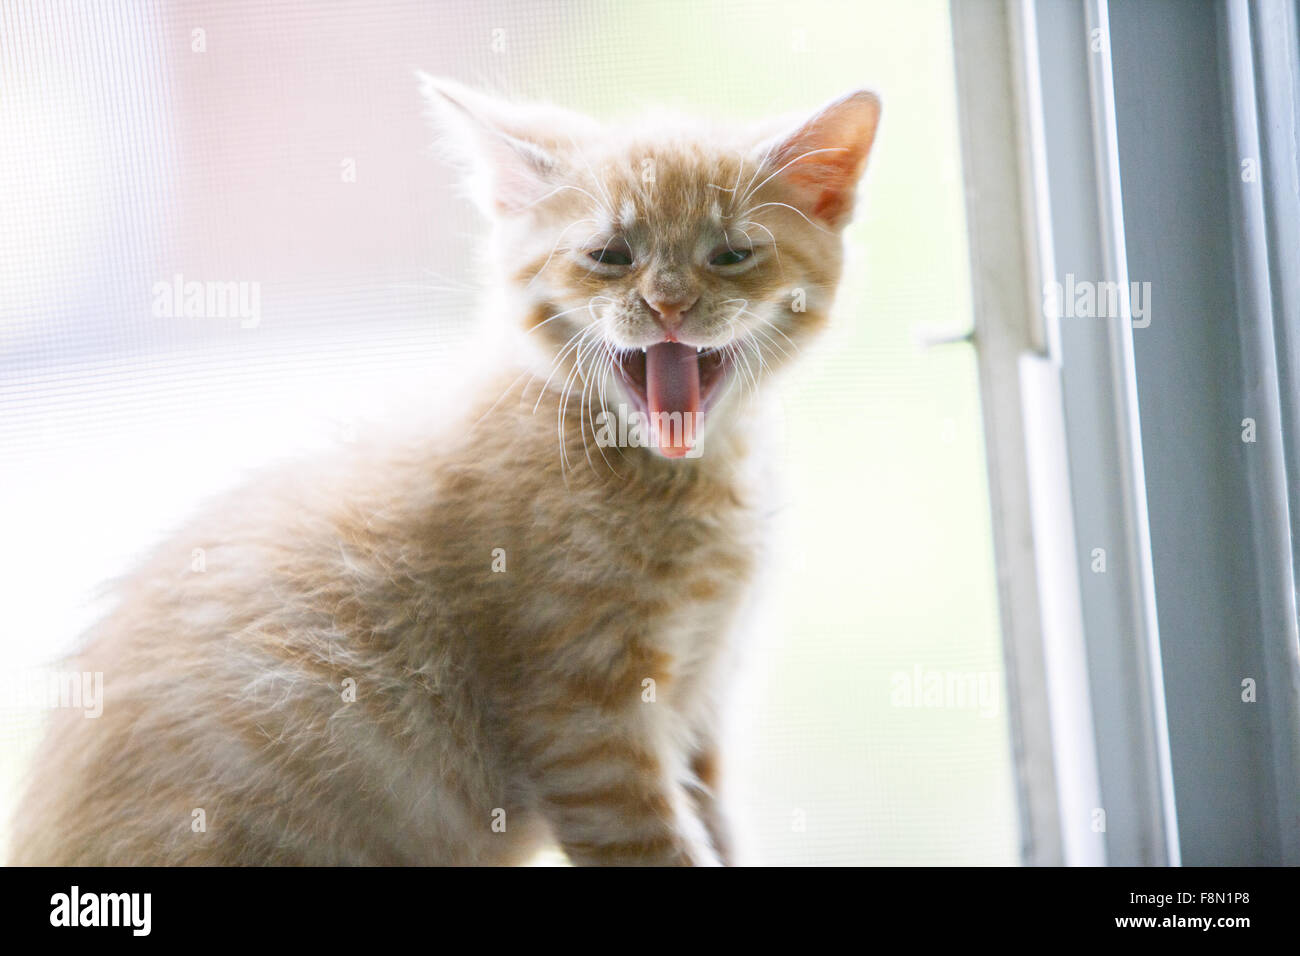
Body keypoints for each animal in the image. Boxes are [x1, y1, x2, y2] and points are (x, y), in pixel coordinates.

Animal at [10, 80, 878, 868]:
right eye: (610, 255)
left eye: (731, 254)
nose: (668, 304)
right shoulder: (590, 734)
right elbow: (660, 847)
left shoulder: (700, 708)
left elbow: (718, 829)